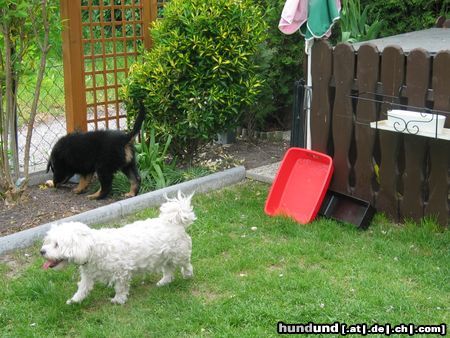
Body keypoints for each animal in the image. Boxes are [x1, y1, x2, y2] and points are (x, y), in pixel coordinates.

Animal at [41, 191, 196, 304]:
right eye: (48, 242)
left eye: (57, 244)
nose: (42, 251)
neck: (93, 249)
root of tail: (174, 221)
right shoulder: (88, 275)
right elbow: (83, 288)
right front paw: (74, 300)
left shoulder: (121, 272)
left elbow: (120, 287)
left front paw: (118, 300)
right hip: (165, 256)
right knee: (168, 270)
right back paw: (164, 282)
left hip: (179, 254)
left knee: (186, 265)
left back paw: (188, 275)